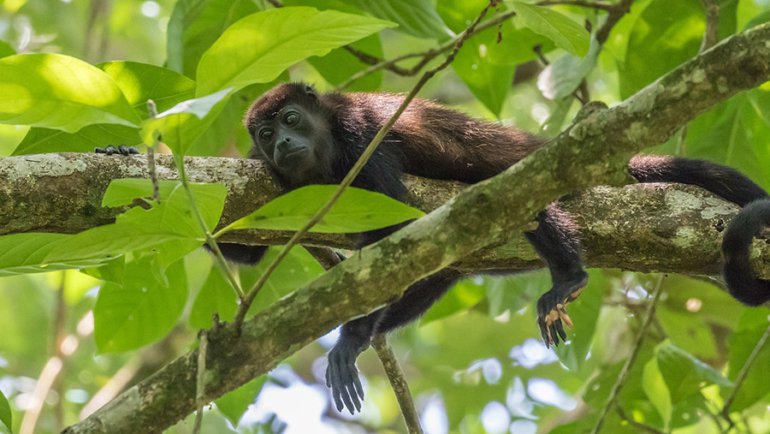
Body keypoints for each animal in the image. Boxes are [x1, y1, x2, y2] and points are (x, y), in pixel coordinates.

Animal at [219, 84, 764, 414]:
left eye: (292, 119)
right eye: (266, 133)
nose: (281, 143)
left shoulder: (361, 137)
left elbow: (395, 229)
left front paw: (349, 338)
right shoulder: (270, 175)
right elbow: (244, 250)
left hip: (536, 170)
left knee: (518, 195)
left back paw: (569, 276)